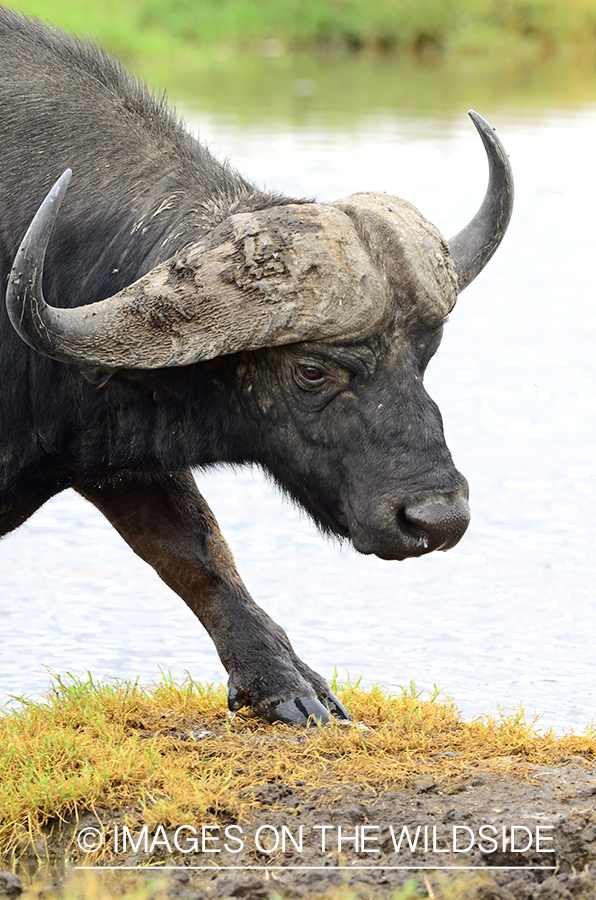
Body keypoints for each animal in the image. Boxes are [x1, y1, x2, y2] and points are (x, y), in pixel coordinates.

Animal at [0, 7, 512, 724]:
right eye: (311, 371)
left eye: (427, 349)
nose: (436, 518)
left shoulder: (111, 447)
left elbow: (195, 549)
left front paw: (290, 686)